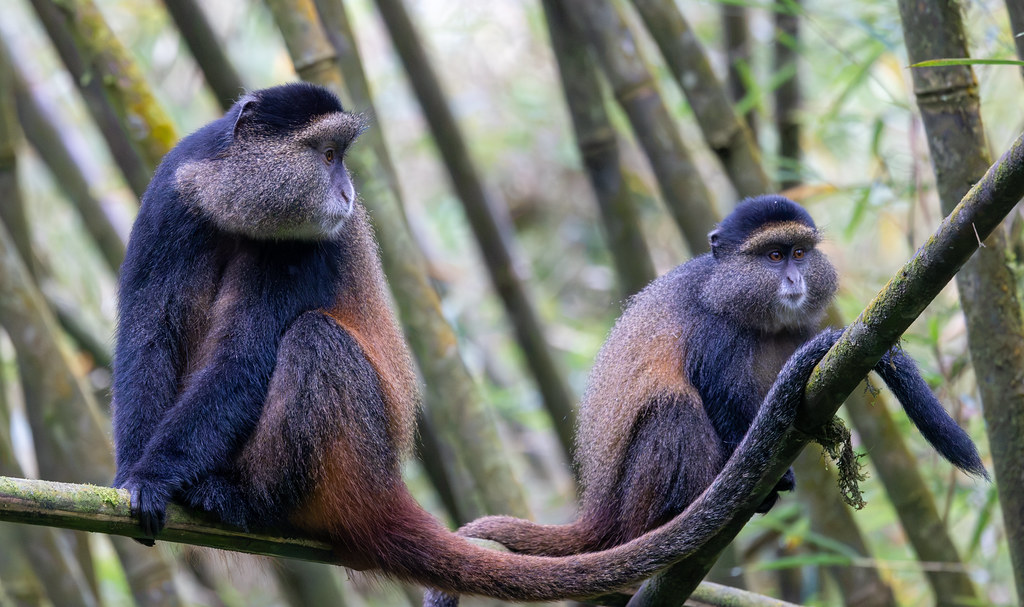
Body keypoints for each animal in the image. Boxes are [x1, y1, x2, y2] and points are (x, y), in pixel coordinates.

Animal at [112, 84, 985, 605]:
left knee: (314, 341)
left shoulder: (305, 243)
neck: (232, 200)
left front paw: (156, 475)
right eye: (325, 154)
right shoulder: (173, 190)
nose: (348, 190)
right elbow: (149, 328)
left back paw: (249, 497)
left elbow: (245, 353)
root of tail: (382, 489)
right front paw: (136, 475)